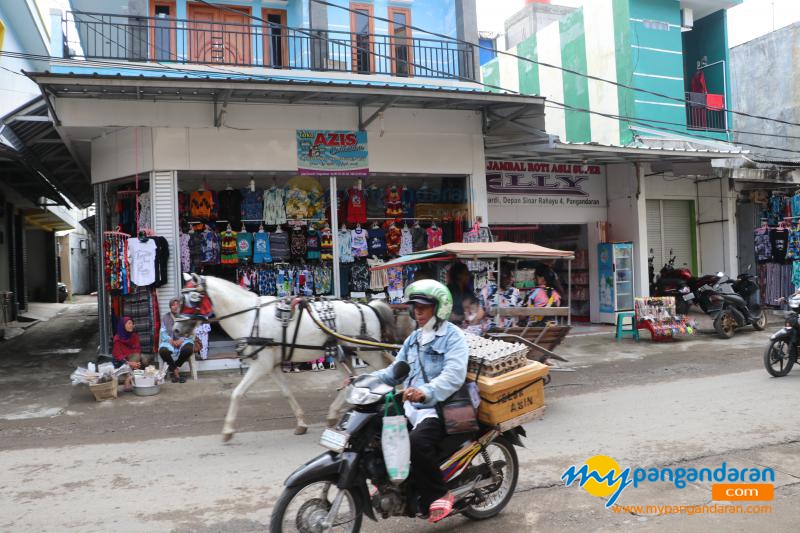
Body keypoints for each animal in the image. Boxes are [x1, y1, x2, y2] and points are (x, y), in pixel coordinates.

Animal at [176, 274, 400, 436]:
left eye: (193, 299)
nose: (177, 330)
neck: (249, 316)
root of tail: (368, 306)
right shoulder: (272, 365)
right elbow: (286, 392)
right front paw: (301, 422)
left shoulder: (261, 365)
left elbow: (237, 392)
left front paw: (228, 430)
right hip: (340, 353)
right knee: (351, 379)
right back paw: (334, 413)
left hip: (367, 351)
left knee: (382, 371)